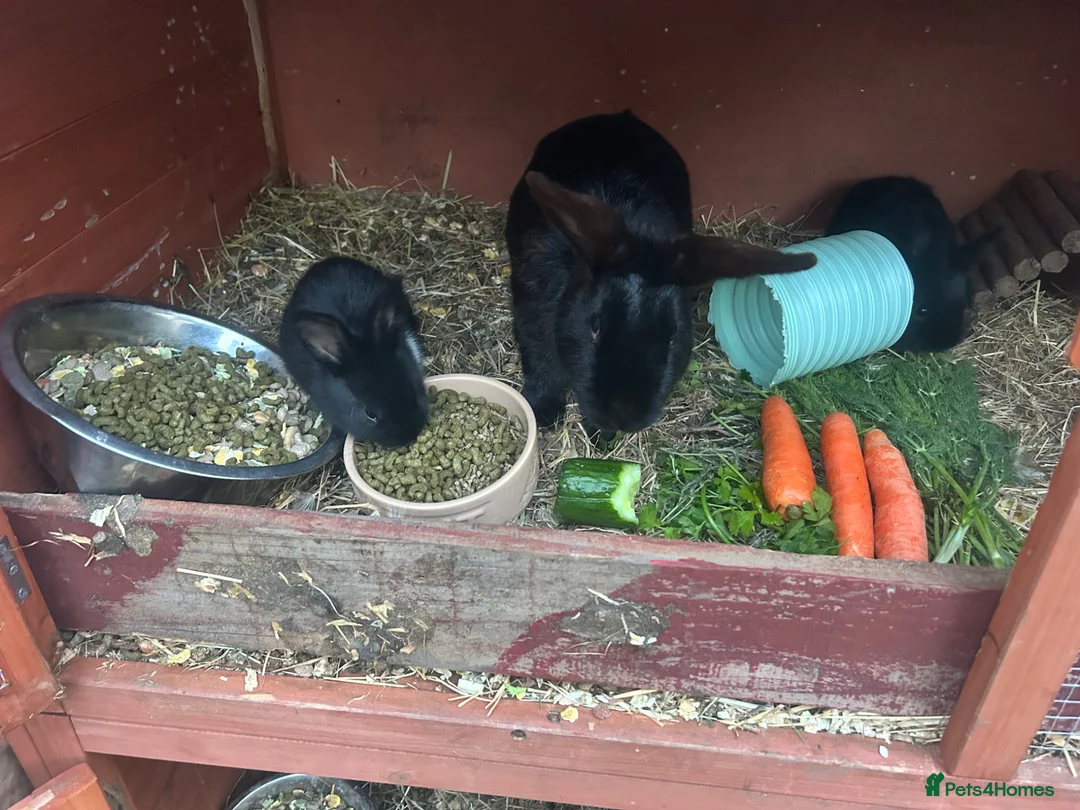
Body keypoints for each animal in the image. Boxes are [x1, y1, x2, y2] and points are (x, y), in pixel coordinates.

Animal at [506, 110, 818, 440]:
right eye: (595, 326)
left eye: (672, 336)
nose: (623, 418)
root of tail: (618, 117)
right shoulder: (532, 308)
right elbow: (541, 359)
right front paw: (543, 413)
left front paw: (601, 436)